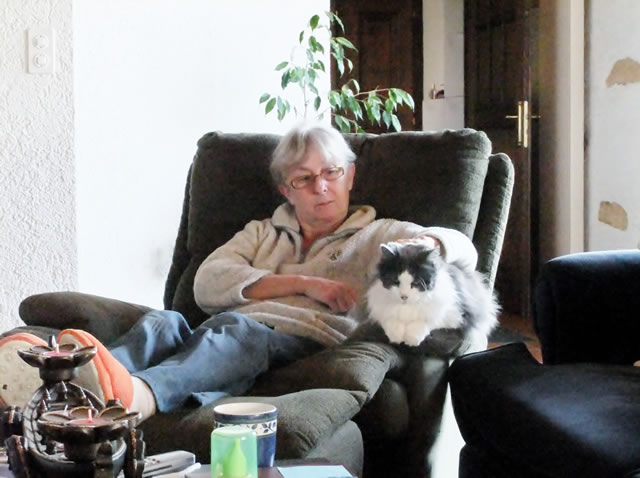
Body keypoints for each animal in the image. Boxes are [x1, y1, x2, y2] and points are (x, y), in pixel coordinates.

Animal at [351, 242, 499, 351]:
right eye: (396, 281)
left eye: (415, 283)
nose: (404, 296)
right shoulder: (376, 308)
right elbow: (389, 318)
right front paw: (396, 335)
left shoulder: (456, 315)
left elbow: (427, 320)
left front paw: (411, 339)